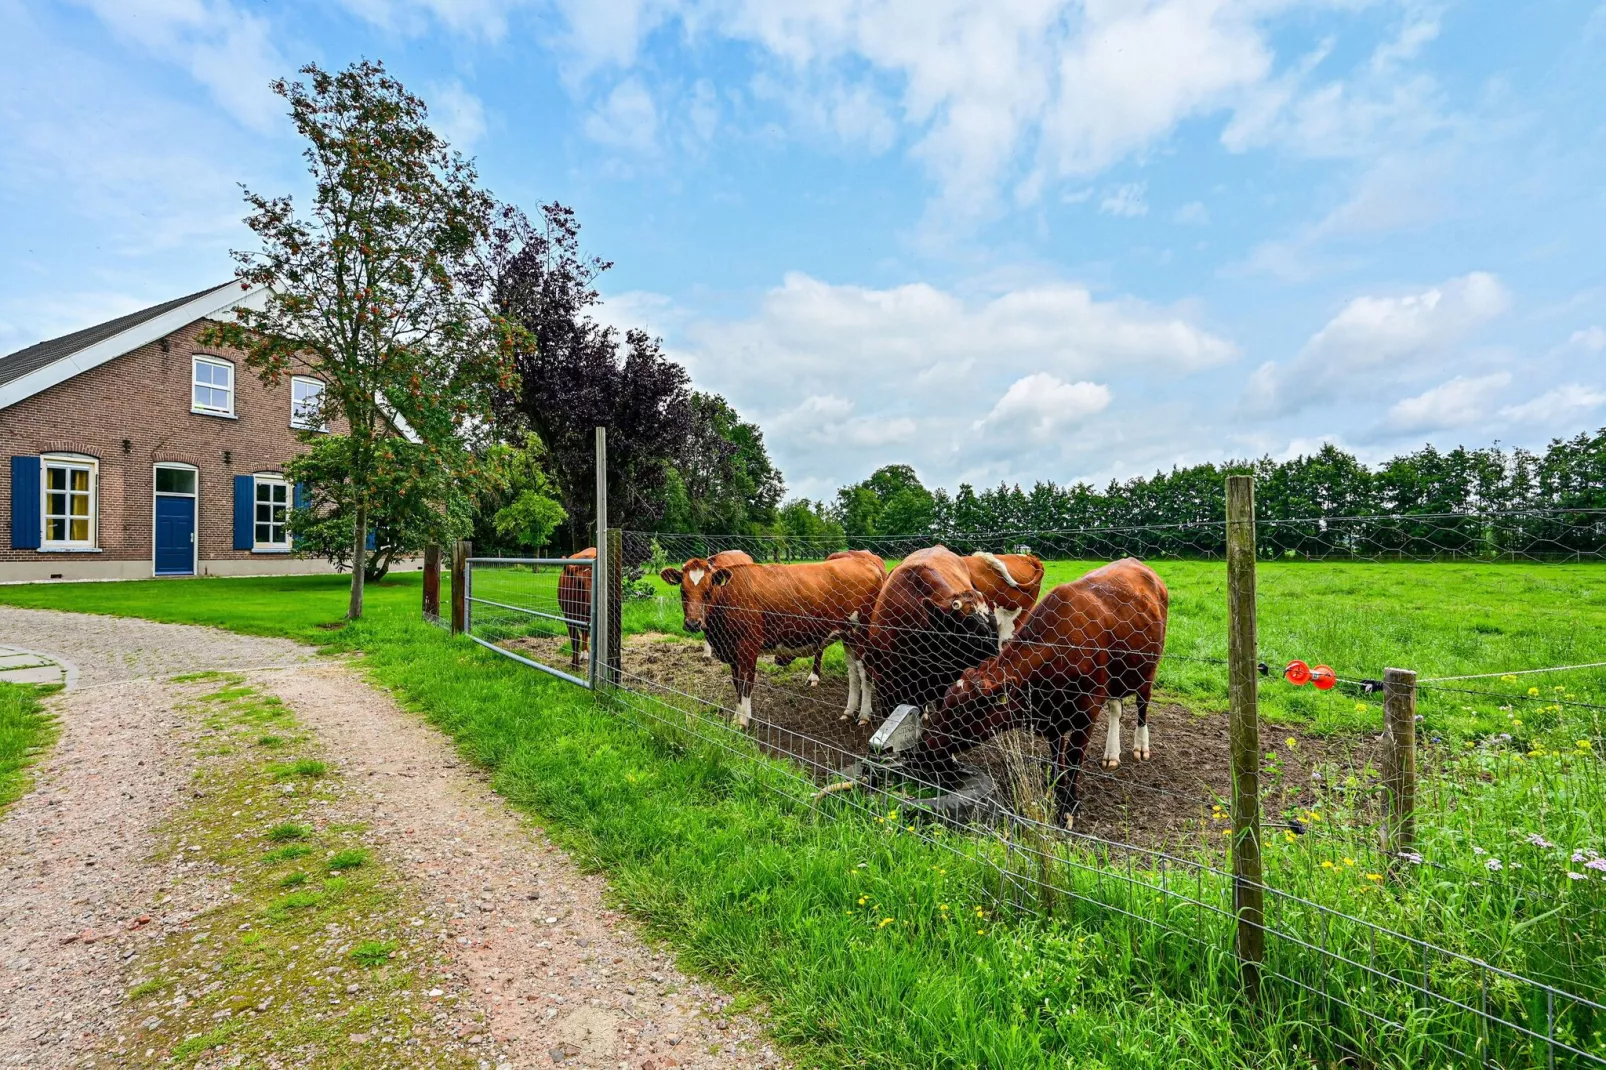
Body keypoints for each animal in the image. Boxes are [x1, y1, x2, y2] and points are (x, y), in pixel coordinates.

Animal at [918, 552, 1169, 829]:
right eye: (945, 703)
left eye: (966, 712)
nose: (923, 746)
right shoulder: (1052, 718)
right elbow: (1057, 756)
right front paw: (1056, 789)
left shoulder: (1086, 714)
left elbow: (1073, 759)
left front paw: (1069, 807)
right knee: (1116, 707)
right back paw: (1111, 753)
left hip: (1147, 669)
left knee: (1142, 705)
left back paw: (1141, 746)